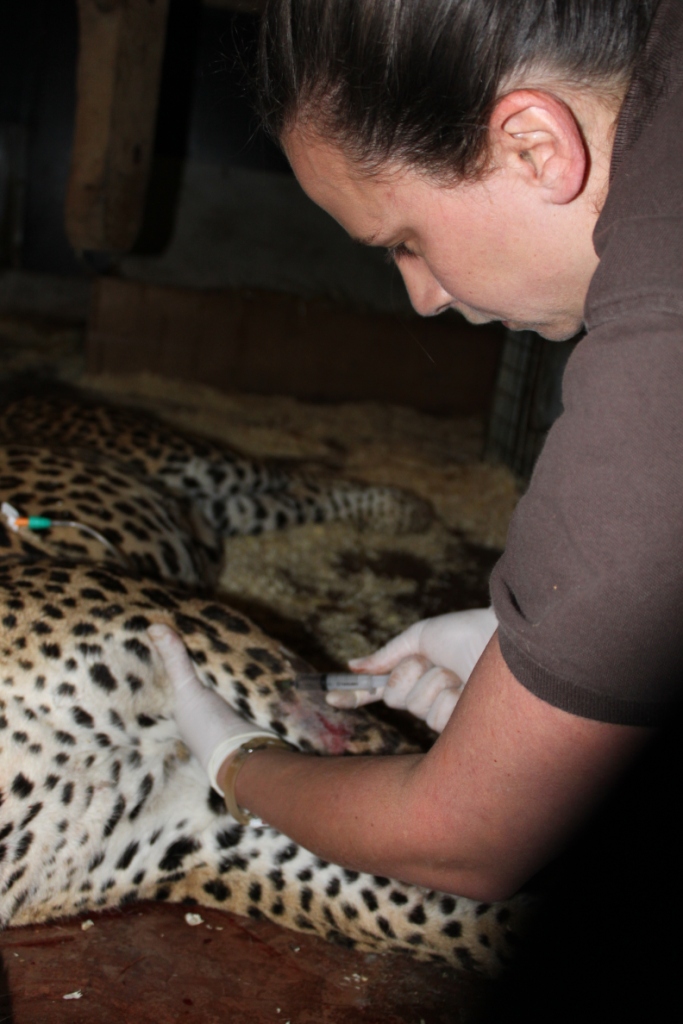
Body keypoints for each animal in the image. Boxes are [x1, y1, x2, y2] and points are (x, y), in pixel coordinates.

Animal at [0, 382, 528, 966]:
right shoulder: (218, 834)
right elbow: (438, 902)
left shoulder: (190, 625)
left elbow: (372, 749)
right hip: (220, 507)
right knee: (281, 499)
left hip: (189, 458)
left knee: (297, 477)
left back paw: (403, 507)